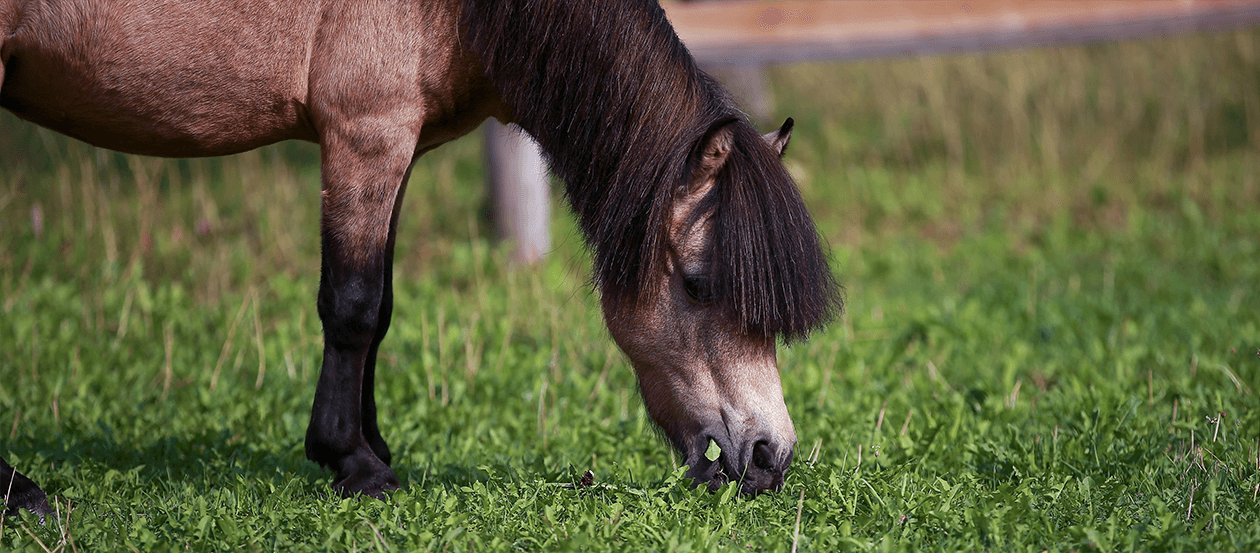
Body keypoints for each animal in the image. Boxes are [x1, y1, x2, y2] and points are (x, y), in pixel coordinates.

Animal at [4, 0, 841, 516]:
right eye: (697, 284)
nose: (770, 457)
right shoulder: (366, 133)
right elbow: (351, 302)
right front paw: (354, 463)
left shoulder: (396, 149)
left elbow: (379, 309)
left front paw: (369, 448)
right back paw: (22, 493)